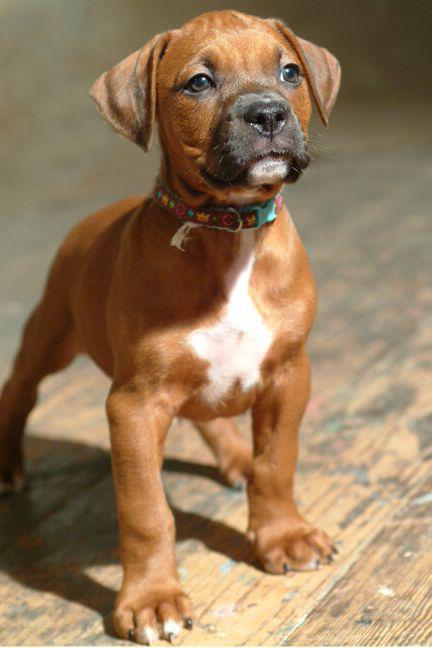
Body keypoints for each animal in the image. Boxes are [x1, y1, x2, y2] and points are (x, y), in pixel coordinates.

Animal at [0, 10, 340, 644]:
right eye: (199, 83)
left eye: (289, 72)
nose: (268, 114)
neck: (229, 232)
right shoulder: (133, 406)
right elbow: (146, 512)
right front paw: (152, 600)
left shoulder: (289, 375)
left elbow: (276, 463)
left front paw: (283, 536)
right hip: (51, 334)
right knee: (19, 389)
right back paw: (9, 463)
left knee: (210, 420)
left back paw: (234, 458)